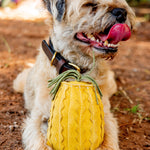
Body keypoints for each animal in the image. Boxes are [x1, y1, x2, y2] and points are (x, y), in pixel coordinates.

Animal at [12, 0, 135, 149]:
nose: (121, 12)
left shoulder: (106, 117)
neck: (76, 68)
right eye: (90, 4)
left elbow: (108, 144)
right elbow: (40, 144)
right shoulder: (37, 118)